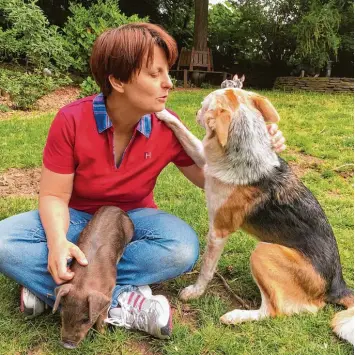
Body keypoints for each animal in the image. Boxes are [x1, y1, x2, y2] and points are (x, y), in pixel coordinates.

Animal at [52, 206, 135, 350]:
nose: (67, 345)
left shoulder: (108, 292)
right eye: (63, 314)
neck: (83, 282)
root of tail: (115, 207)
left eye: (85, 319)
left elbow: (102, 317)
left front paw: (102, 336)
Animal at [157, 87, 354, 346]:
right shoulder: (204, 159)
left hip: (263, 251)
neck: (247, 149)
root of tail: (338, 286)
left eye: (204, 105)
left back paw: (235, 316)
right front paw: (160, 112)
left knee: (278, 310)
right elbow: (183, 130)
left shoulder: (218, 230)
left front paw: (195, 292)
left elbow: (207, 269)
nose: (196, 112)